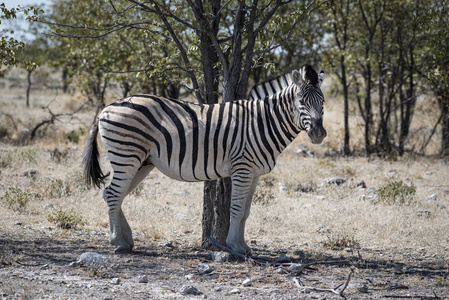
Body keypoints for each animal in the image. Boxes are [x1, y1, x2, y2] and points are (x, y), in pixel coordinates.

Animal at [83, 64, 326, 254]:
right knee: (113, 194)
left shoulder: (255, 173)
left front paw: (243, 245)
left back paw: (127, 239)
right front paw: (233, 245)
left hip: (142, 162)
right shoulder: (242, 168)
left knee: (114, 194)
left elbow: (246, 211)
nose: (318, 134)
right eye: (301, 101)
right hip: (126, 155)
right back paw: (118, 242)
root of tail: (107, 107)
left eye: (322, 102)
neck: (262, 122)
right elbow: (236, 209)